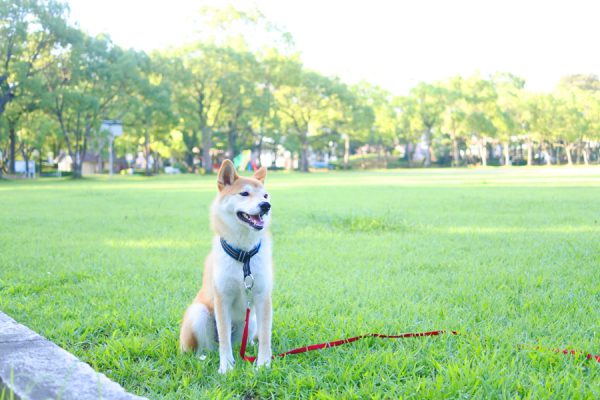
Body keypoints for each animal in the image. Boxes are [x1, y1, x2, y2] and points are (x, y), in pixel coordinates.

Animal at [178, 159, 272, 372]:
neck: (243, 255)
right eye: (244, 194)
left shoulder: (262, 296)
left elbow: (265, 336)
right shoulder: (222, 298)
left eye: (265, 195)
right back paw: (204, 358)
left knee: (243, 341)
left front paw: (263, 364)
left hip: (250, 322)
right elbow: (224, 339)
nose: (266, 205)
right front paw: (226, 367)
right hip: (198, 313)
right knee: (207, 348)